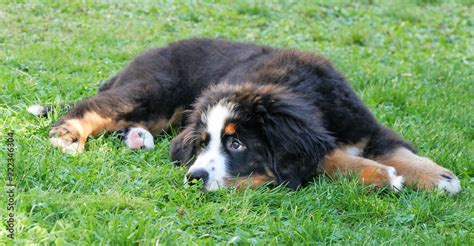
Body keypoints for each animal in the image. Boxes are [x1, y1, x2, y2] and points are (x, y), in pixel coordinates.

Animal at [29, 37, 460, 193]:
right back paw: (67, 138)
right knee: (92, 107)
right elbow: (326, 158)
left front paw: (440, 177)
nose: (194, 177)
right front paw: (381, 176)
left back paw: (136, 138)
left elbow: (401, 151)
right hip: (155, 91)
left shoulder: (365, 125)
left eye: (236, 143)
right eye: (205, 143)